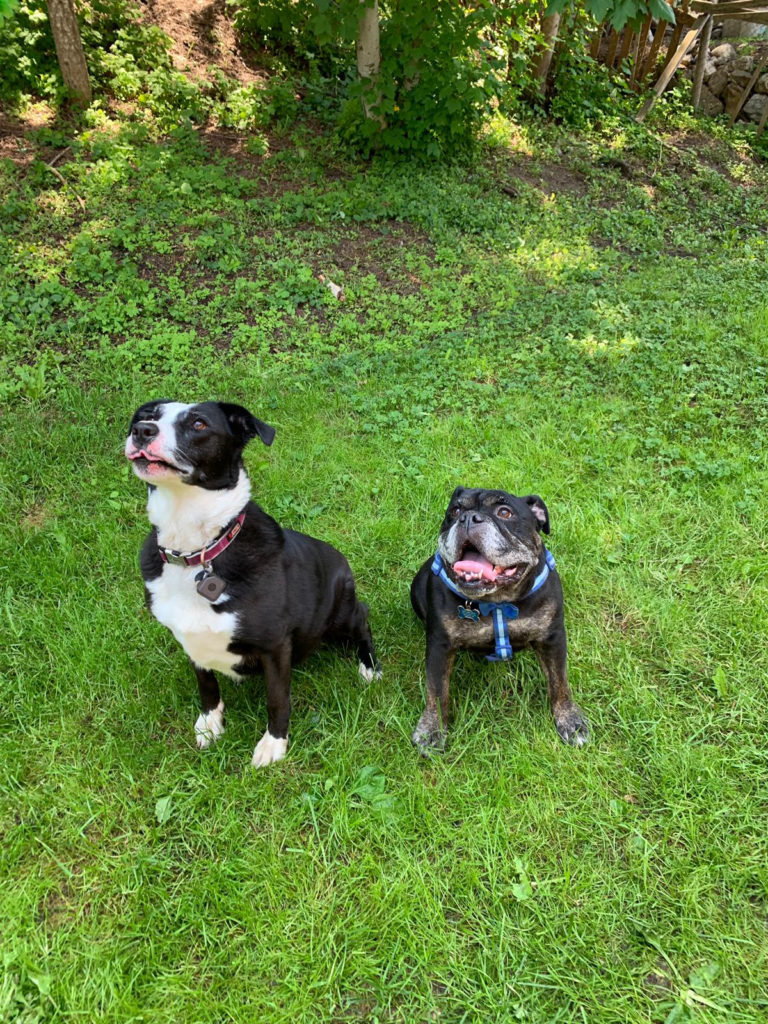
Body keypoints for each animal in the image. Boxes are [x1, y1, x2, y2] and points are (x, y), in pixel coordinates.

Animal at [124, 399, 380, 770]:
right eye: (150, 415)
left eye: (199, 424)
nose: (141, 431)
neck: (197, 551)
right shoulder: (189, 639)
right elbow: (206, 684)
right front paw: (210, 722)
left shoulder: (275, 646)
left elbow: (277, 699)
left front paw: (274, 744)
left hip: (342, 613)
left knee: (363, 624)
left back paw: (369, 667)